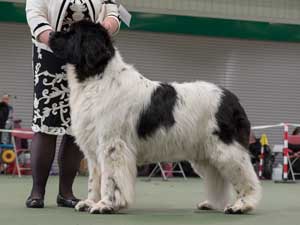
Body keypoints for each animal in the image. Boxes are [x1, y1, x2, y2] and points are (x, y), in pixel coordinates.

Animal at [49, 20, 260, 214]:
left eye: (71, 33)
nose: (50, 34)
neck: (96, 77)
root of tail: (232, 98)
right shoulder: (94, 148)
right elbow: (94, 179)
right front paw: (90, 202)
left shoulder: (112, 145)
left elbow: (110, 179)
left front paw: (105, 205)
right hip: (206, 154)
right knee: (217, 178)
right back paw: (211, 203)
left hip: (226, 149)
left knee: (246, 177)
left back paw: (241, 205)